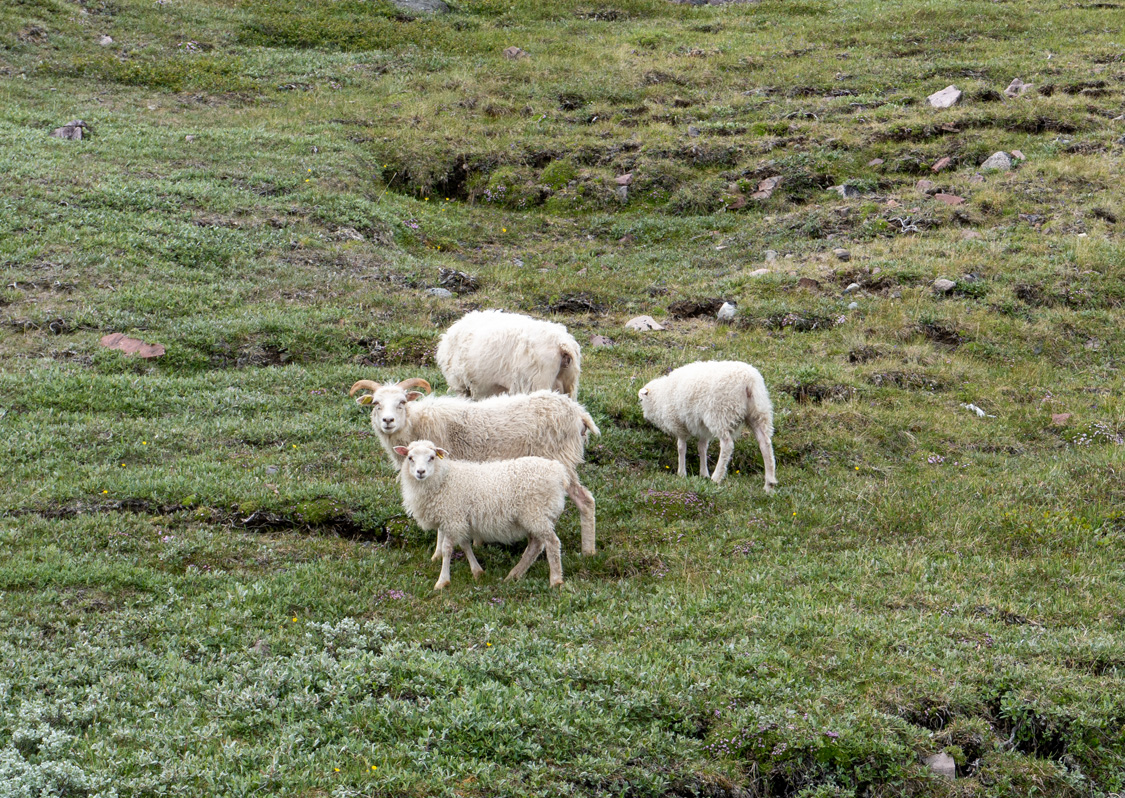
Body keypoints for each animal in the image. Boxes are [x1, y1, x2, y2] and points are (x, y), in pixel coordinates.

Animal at [349, 378, 599, 554]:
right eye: (376, 404)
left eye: (402, 402)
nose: (388, 421)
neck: (417, 424)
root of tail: (579, 412)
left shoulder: (442, 475)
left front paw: (438, 554)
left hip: (561, 459)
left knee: (586, 500)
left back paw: (588, 551)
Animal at [395, 440, 567, 590]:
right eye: (410, 458)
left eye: (431, 457)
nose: (420, 472)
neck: (444, 478)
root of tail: (558, 471)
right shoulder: (458, 520)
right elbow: (464, 545)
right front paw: (477, 571)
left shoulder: (453, 518)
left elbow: (446, 549)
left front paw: (442, 581)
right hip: (536, 516)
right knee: (535, 545)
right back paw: (514, 575)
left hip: (536, 513)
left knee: (552, 542)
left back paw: (555, 581)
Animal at [638, 360, 777, 490]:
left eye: (641, 400)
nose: (644, 417)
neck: (660, 397)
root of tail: (749, 381)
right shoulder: (703, 428)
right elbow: (702, 448)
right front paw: (704, 474)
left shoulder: (679, 424)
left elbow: (681, 447)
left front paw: (681, 473)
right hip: (758, 412)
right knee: (765, 443)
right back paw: (769, 484)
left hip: (721, 413)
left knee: (727, 445)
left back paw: (716, 477)